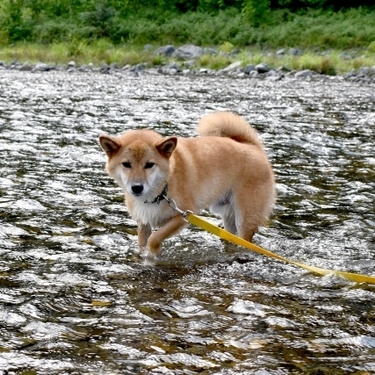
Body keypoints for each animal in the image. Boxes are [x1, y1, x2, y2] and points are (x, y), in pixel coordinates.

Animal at [99, 111, 276, 264]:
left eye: (149, 165)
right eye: (126, 164)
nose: (137, 187)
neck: (162, 190)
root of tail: (253, 147)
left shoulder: (184, 215)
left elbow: (154, 239)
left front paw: (151, 257)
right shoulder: (144, 223)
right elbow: (142, 244)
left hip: (245, 219)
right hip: (228, 218)